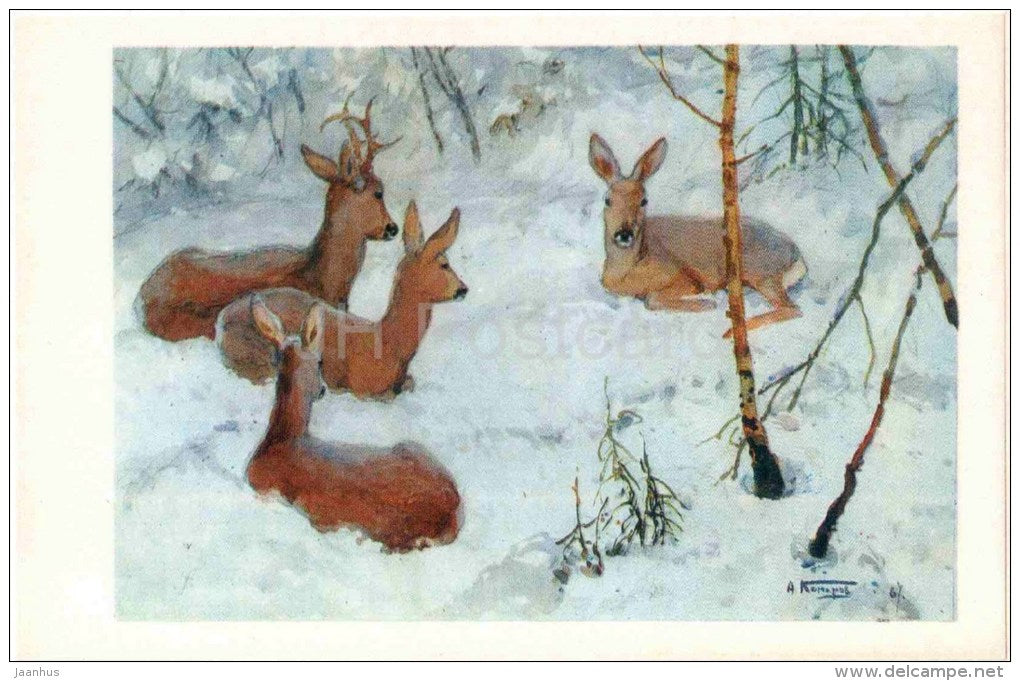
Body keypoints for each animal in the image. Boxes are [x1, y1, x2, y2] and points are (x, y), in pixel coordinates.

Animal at [216, 201, 468, 399]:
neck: (387, 344)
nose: (464, 289)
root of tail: (221, 323)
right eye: (444, 264)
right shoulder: (359, 387)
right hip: (258, 354)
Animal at [588, 133, 807, 336]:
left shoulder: (684, 277)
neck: (625, 270)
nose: (624, 234)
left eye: (644, 201)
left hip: (758, 270)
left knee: (793, 309)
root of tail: (796, 255)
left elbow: (651, 299)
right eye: (607, 200)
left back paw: (730, 331)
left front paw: (707, 303)